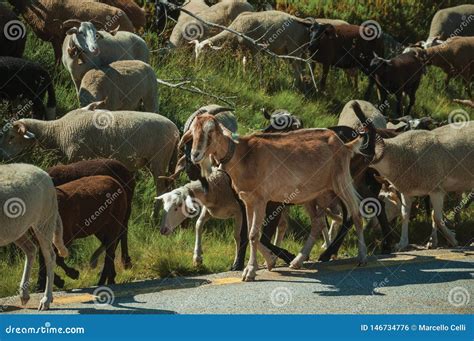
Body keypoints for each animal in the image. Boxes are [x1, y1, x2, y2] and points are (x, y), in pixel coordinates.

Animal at [0, 107, 180, 218]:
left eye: (11, 137)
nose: (2, 156)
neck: (57, 132)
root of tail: (175, 130)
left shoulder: (79, 158)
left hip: (159, 160)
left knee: (160, 188)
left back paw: (154, 216)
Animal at [0, 163, 67, 310]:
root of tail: (43, 172)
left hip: (44, 221)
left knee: (50, 257)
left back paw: (45, 300)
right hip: (18, 229)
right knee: (31, 249)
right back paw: (24, 295)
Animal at [180, 113, 368, 280]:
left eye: (211, 131)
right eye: (193, 134)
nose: (195, 155)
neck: (243, 155)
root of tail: (344, 145)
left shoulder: (262, 200)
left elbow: (254, 234)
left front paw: (250, 271)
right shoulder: (247, 201)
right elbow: (250, 233)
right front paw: (269, 261)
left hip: (341, 181)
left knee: (356, 215)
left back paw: (362, 257)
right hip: (309, 195)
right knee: (317, 223)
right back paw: (297, 260)